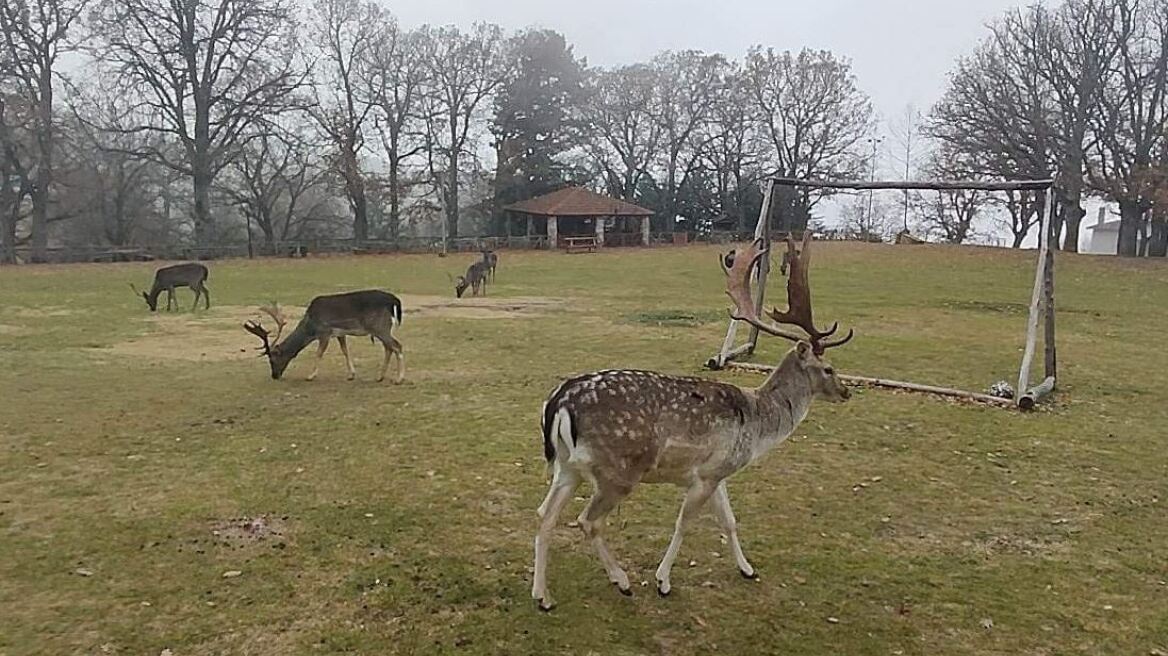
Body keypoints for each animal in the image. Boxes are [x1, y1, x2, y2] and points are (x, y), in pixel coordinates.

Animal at [241, 287, 406, 382]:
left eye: (272, 360)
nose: (274, 376)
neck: (311, 327)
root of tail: (395, 301)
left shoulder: (324, 332)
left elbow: (319, 353)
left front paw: (310, 376)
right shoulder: (340, 333)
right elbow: (345, 351)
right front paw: (351, 374)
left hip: (379, 327)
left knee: (397, 346)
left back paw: (399, 379)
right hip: (382, 328)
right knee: (389, 348)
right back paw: (380, 376)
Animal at [534, 232, 854, 611]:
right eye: (829, 369)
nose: (847, 391)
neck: (758, 424)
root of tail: (560, 401)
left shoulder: (720, 473)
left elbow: (730, 521)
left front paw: (747, 569)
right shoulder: (704, 475)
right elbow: (683, 525)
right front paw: (663, 581)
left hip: (567, 466)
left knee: (545, 514)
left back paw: (543, 596)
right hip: (617, 470)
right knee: (588, 521)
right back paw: (621, 580)